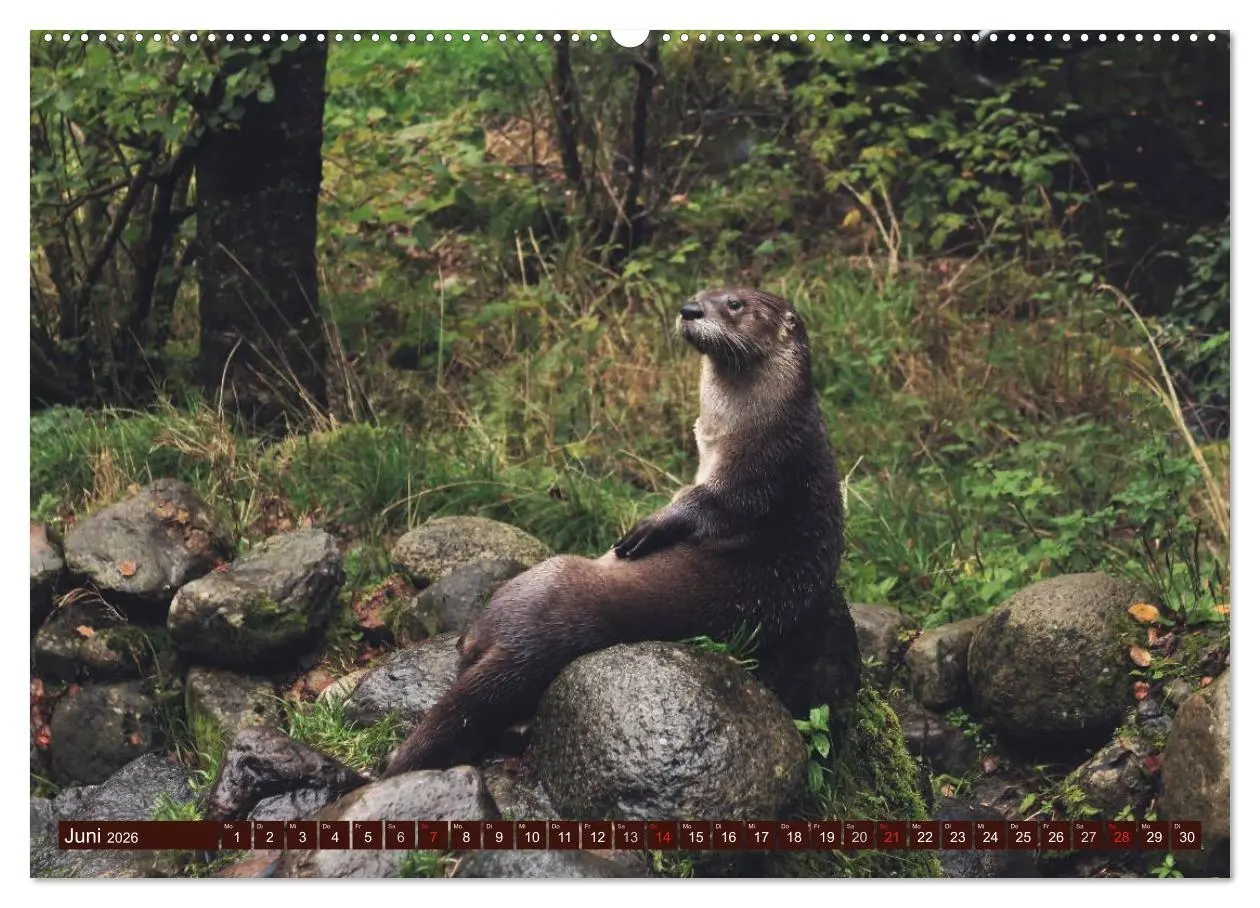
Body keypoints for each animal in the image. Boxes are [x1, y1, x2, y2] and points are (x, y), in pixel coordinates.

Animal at [382, 287, 843, 775]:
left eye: (734, 304)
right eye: (701, 293)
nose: (690, 310)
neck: (757, 424)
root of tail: (526, 646)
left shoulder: (762, 473)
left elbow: (709, 505)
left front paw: (648, 528)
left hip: (540, 578)